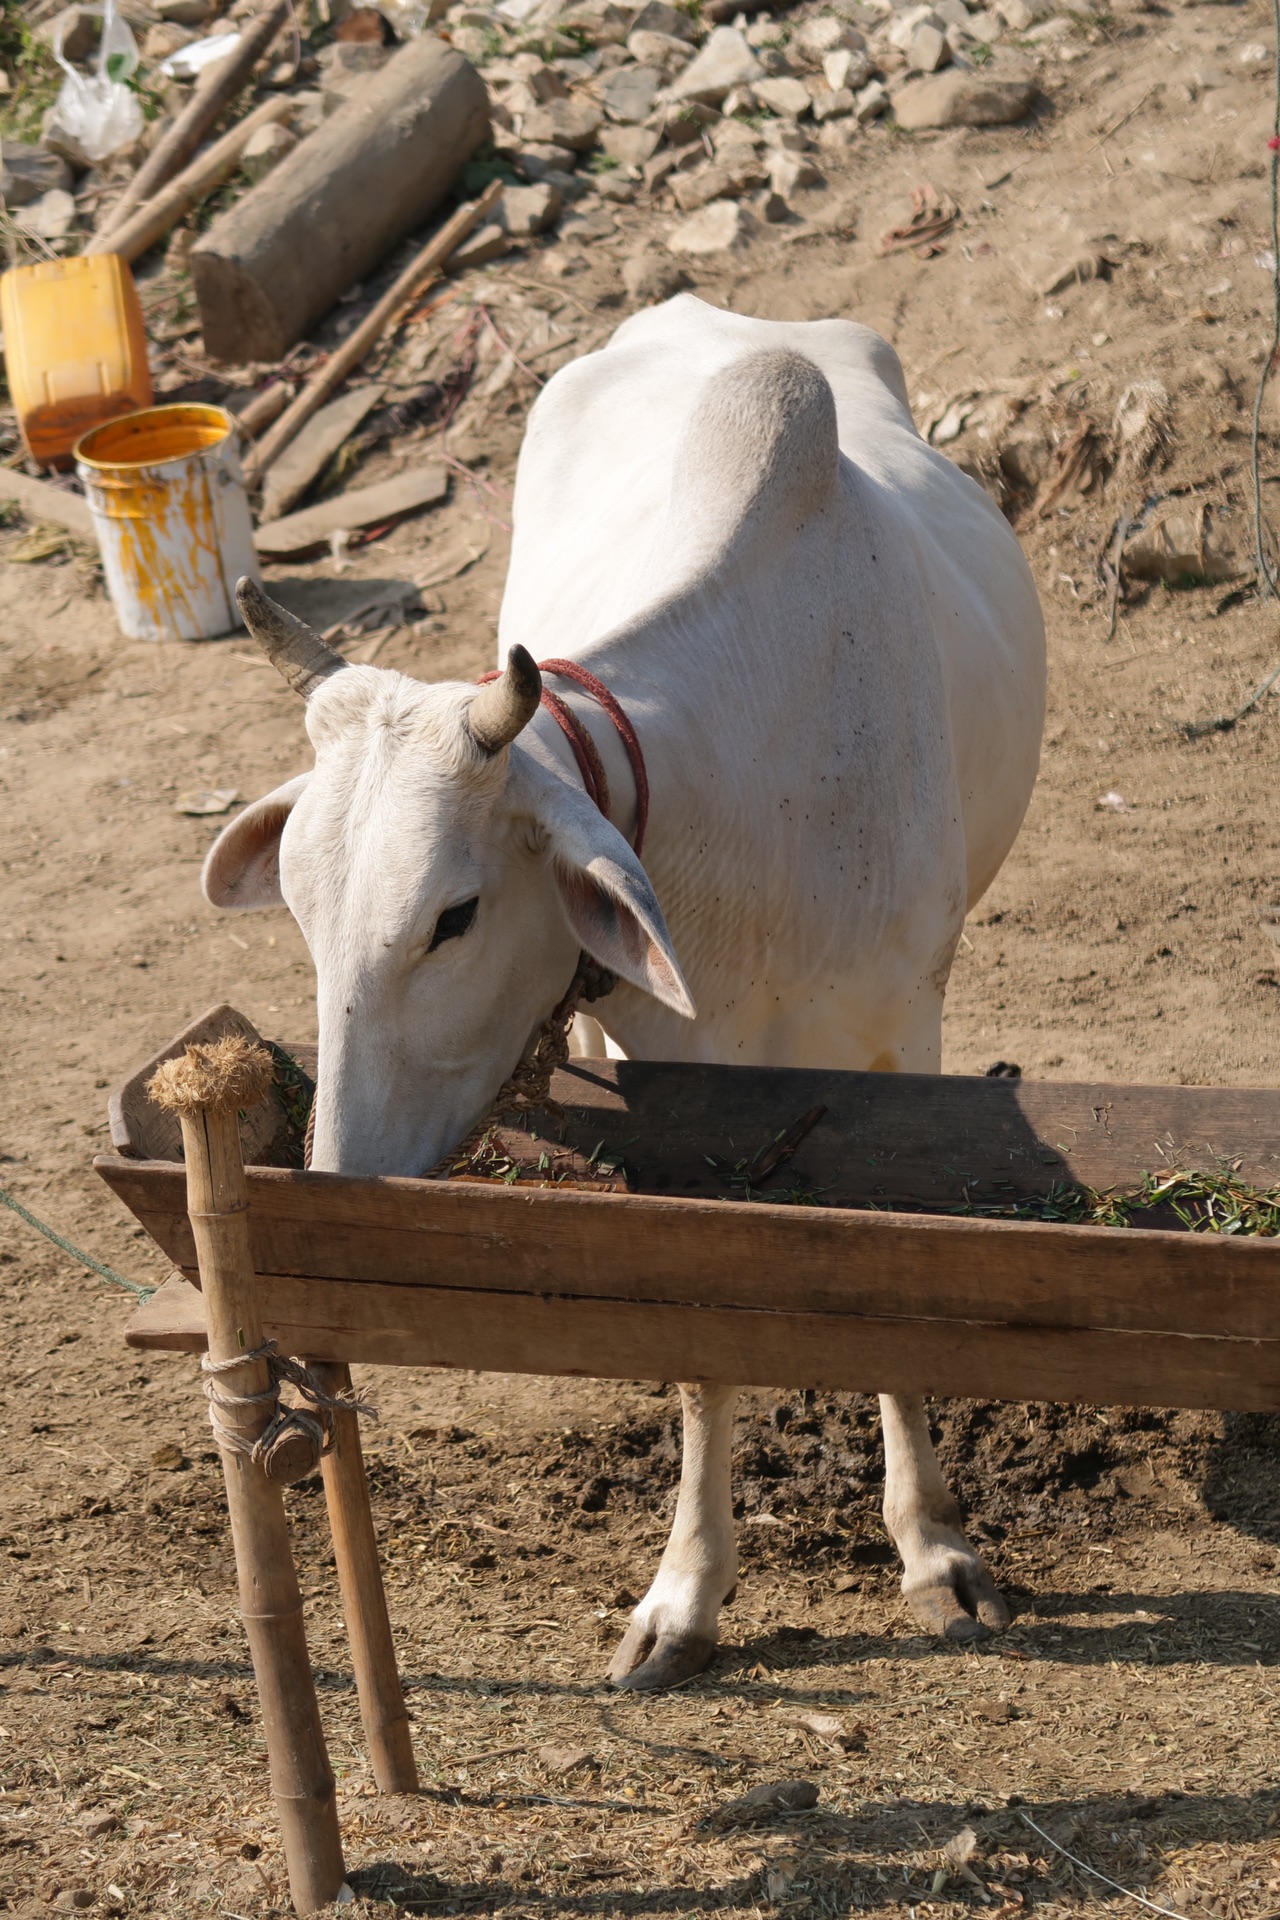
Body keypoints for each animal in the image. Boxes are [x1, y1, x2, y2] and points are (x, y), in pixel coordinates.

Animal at [205, 291, 1043, 1689]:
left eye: (452, 916)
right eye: (307, 917)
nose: (337, 1181)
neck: (746, 802)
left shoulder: (899, 1036)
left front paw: (933, 1551)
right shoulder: (657, 1081)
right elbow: (695, 1346)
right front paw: (685, 1595)